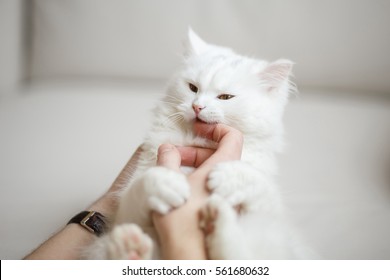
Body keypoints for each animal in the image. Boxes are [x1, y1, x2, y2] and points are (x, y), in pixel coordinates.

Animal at [86, 29, 310, 260]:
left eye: (225, 97)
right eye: (192, 88)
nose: (197, 107)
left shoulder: (271, 216)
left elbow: (261, 185)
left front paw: (228, 176)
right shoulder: (125, 212)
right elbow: (141, 186)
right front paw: (165, 183)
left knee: (234, 252)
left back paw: (217, 218)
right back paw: (128, 246)